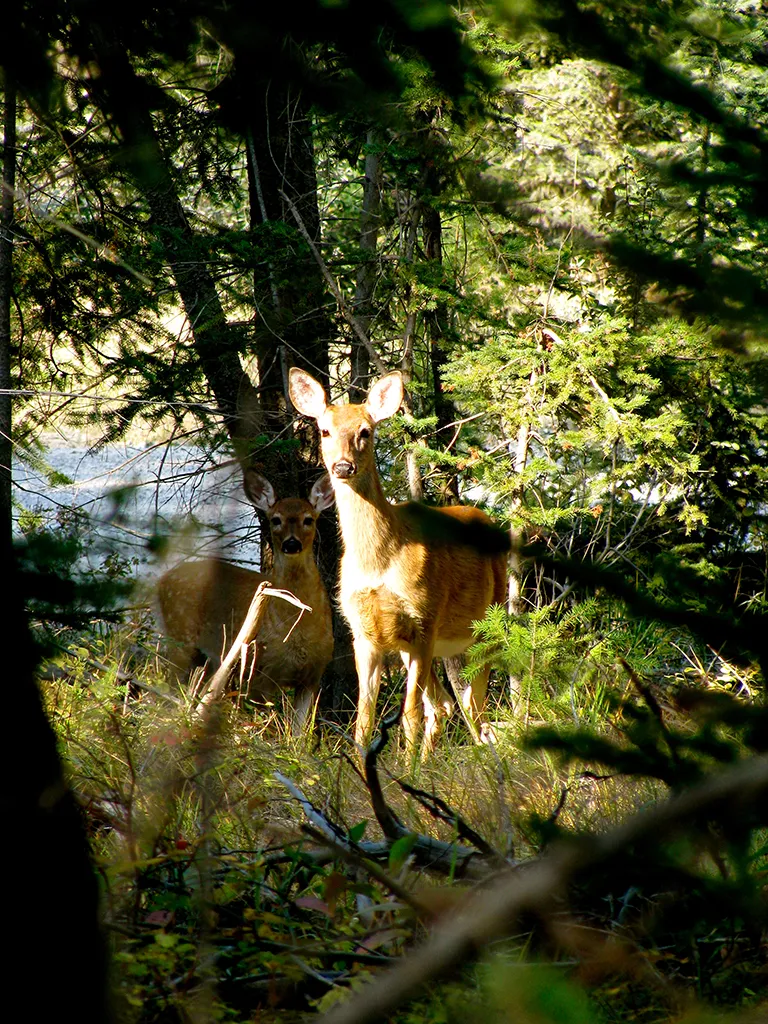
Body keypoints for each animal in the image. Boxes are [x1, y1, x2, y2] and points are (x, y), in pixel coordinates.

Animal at [157, 469, 335, 733]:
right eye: (276, 519)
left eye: (308, 519)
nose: (291, 543)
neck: (298, 630)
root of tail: (161, 581)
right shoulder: (259, 669)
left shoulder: (313, 674)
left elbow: (298, 734)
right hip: (180, 635)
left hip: (208, 655)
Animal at [288, 367, 509, 754]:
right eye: (325, 430)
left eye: (365, 431)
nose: (342, 466)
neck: (378, 561)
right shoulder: (363, 633)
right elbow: (363, 720)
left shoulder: (424, 618)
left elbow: (410, 715)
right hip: (423, 646)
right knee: (447, 704)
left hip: (487, 625)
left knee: (474, 708)